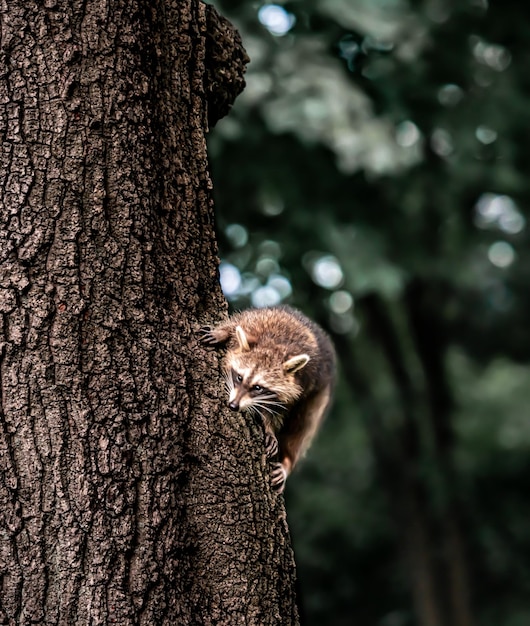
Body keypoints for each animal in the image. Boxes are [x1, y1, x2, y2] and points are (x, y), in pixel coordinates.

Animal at [199, 304, 334, 490]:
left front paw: (268, 425)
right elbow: (234, 325)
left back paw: (287, 462)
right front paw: (221, 332)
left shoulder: (302, 381)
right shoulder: (252, 321)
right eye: (239, 377)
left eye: (258, 387)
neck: (273, 346)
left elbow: (281, 408)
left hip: (318, 397)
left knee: (303, 428)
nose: (233, 406)